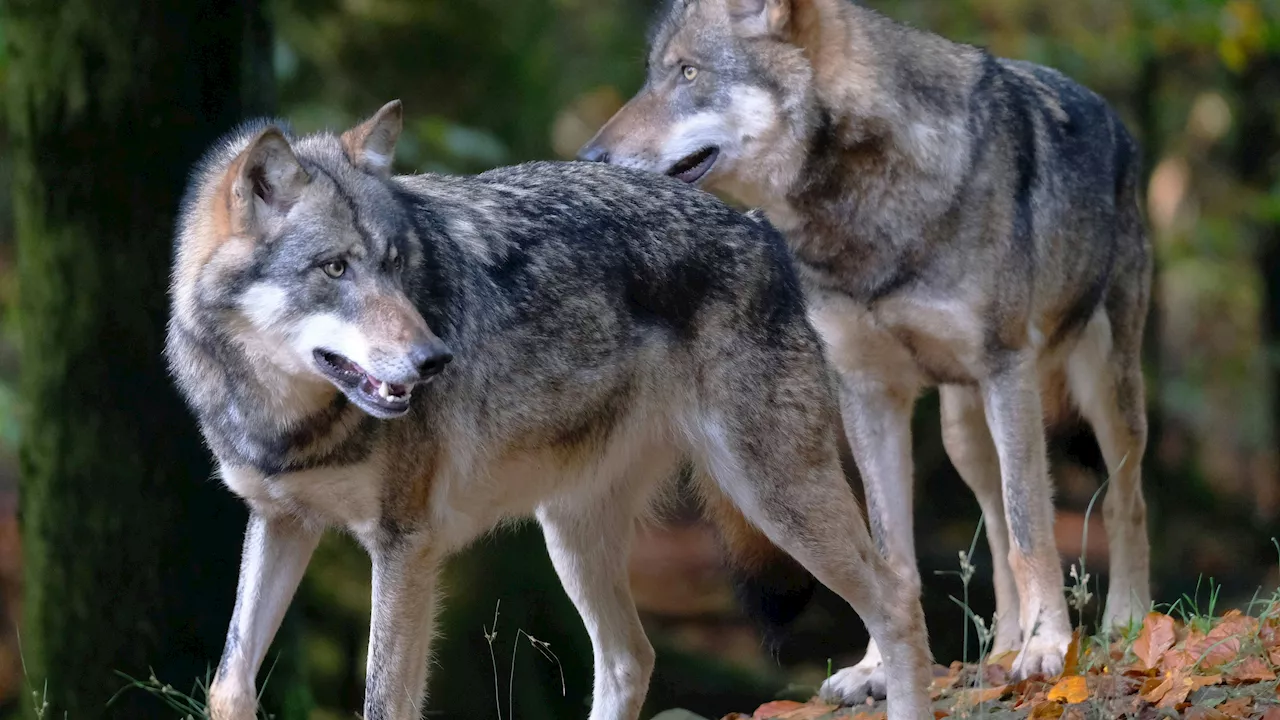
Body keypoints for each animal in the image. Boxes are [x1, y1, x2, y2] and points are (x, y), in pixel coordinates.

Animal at [167, 101, 931, 717]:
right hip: (572, 533)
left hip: (772, 497)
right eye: (335, 268)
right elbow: (228, 684)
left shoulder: (404, 545)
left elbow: (383, 702)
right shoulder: (280, 521)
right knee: (630, 660)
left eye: (395, 264)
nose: (436, 359)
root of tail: (760, 228)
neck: (285, 419)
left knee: (896, 600)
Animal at [586, 0, 1157, 702]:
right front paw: (877, 669)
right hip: (964, 433)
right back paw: (1002, 645)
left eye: (688, 72)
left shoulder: (1006, 369)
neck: (859, 214)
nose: (590, 156)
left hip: (1101, 391)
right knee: (994, 525)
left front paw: (1049, 646)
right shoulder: (867, 391)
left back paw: (1125, 620)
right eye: (653, 75)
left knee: (1123, 500)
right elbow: (892, 554)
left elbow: (1033, 529)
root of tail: (1113, 116)